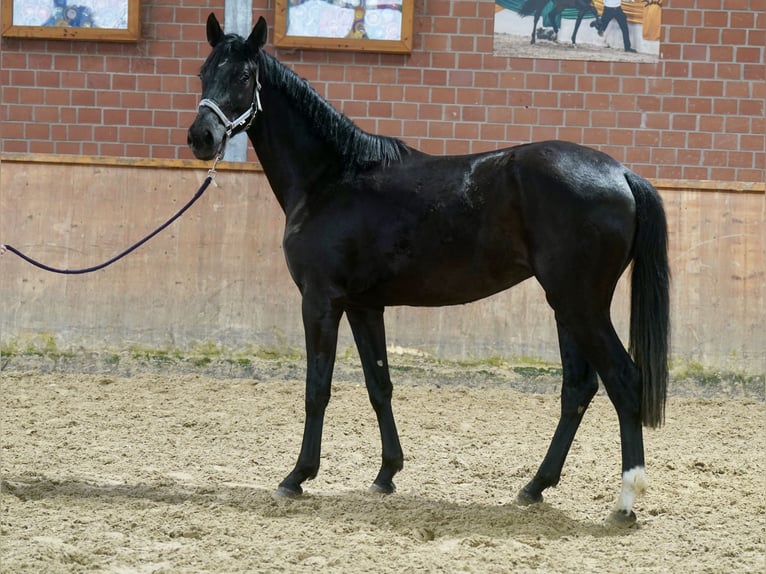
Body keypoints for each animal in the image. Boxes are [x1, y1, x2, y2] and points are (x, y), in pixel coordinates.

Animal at [189, 13, 668, 528]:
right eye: (203, 72)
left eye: (243, 76)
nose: (201, 137)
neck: (333, 179)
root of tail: (621, 174)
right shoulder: (363, 306)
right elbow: (379, 385)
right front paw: (386, 474)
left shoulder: (320, 301)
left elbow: (317, 388)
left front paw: (297, 477)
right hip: (566, 307)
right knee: (579, 387)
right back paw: (535, 487)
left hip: (581, 304)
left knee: (624, 381)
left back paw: (625, 502)